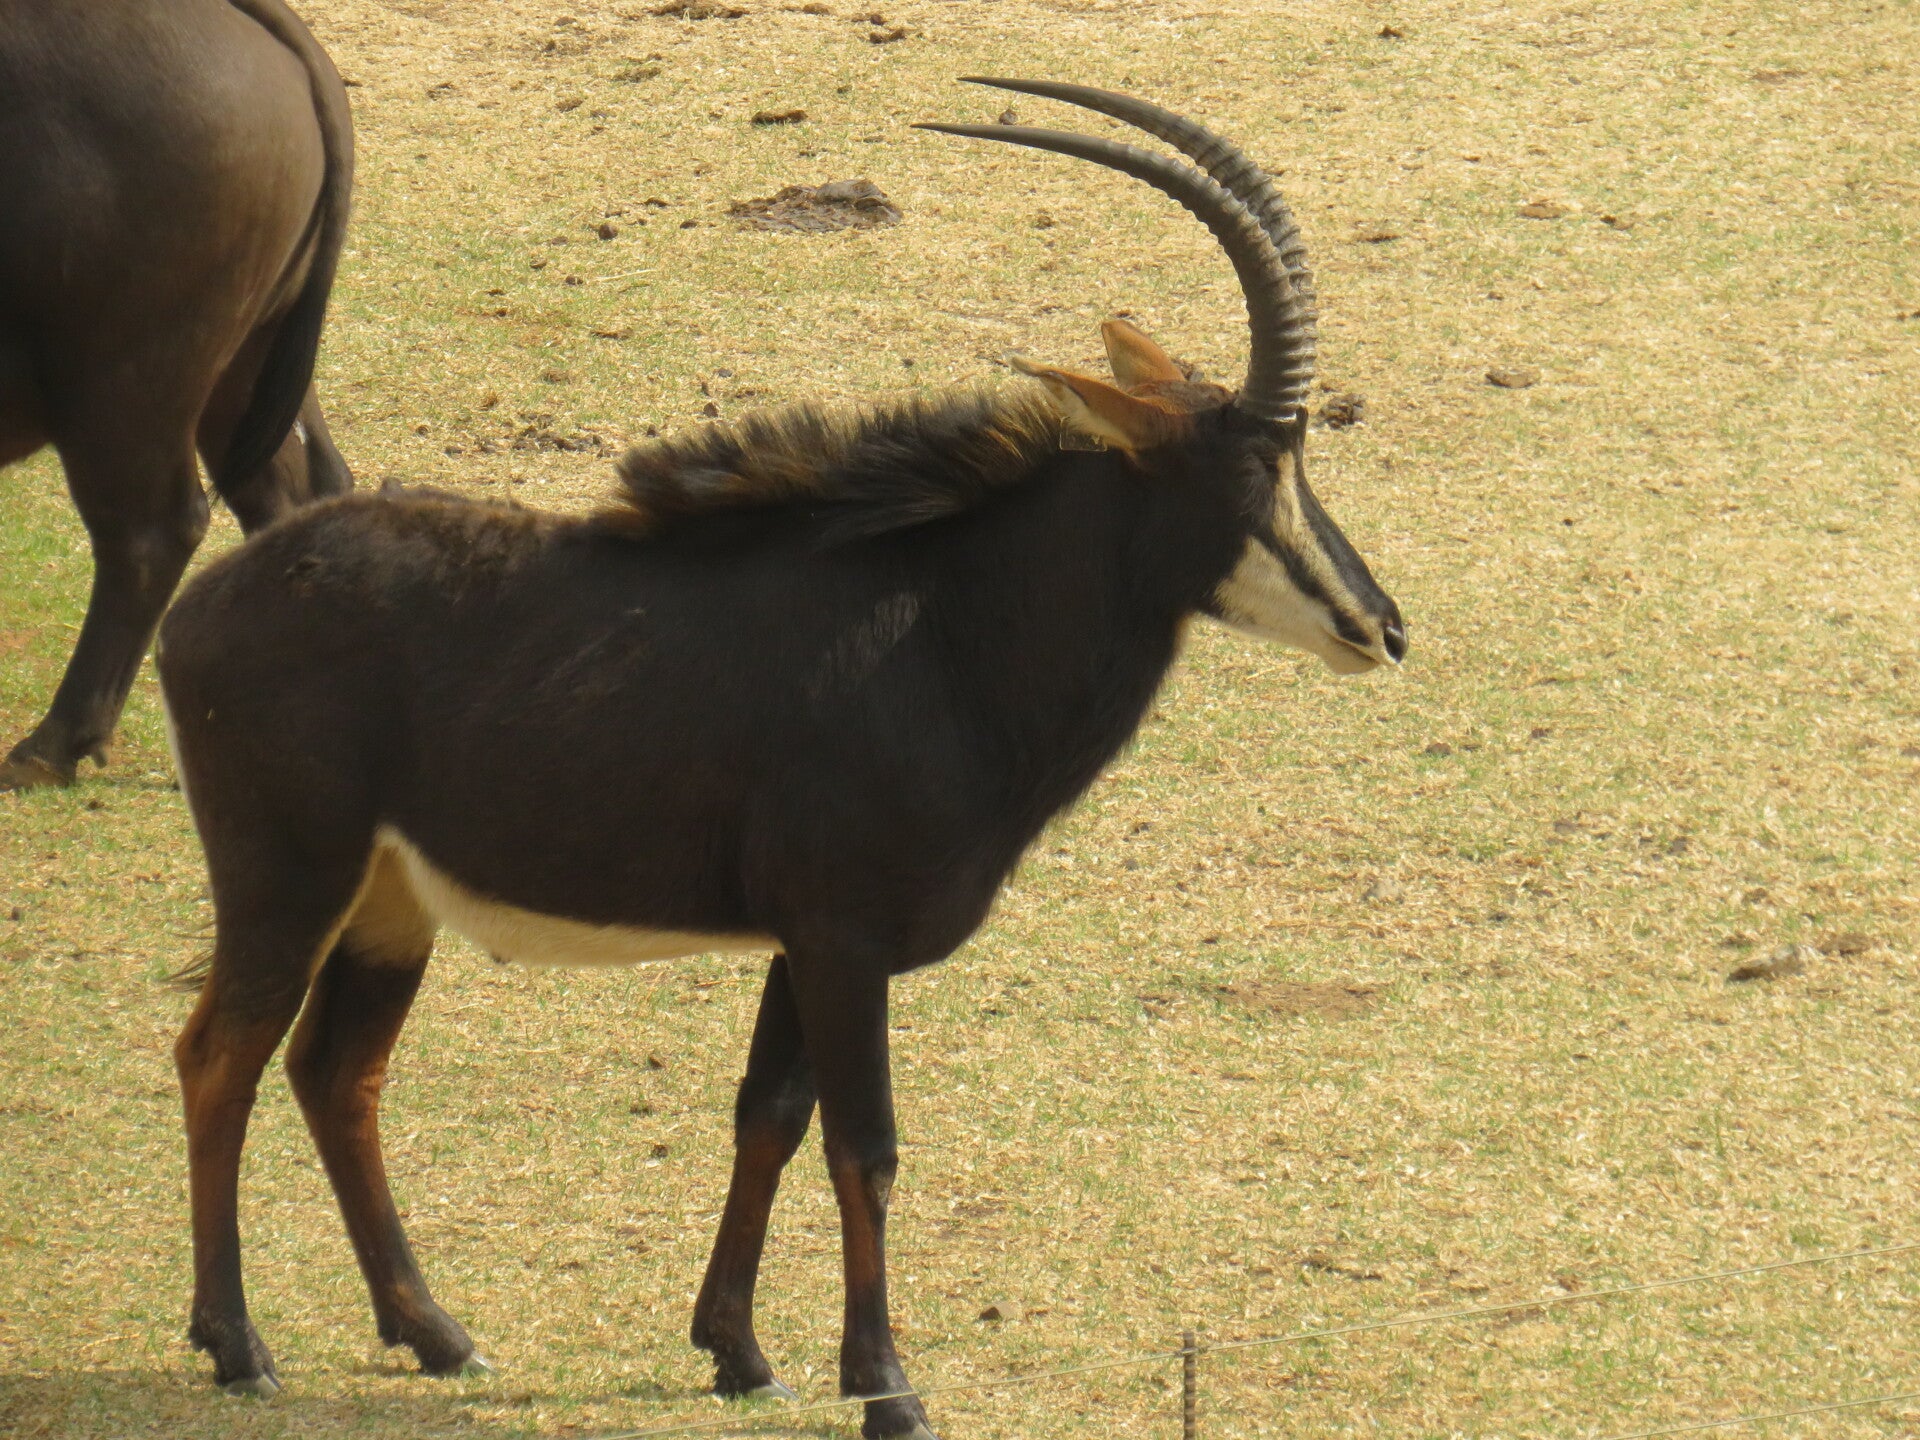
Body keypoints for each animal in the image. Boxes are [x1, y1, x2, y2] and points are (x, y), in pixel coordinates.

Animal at [157, 80, 1406, 1439]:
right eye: (1257, 467)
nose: (1381, 627)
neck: (947, 630)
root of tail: (204, 606)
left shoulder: (796, 946)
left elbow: (769, 1117)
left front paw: (739, 1353)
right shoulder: (844, 942)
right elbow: (866, 1144)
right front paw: (888, 1386)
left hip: (390, 906)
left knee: (338, 1074)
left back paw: (437, 1335)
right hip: (288, 881)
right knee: (221, 1055)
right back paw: (237, 1345)